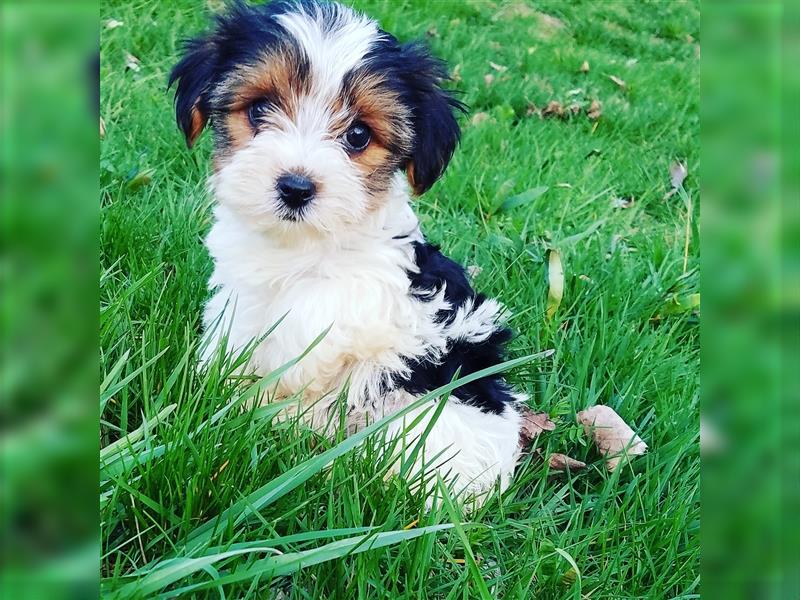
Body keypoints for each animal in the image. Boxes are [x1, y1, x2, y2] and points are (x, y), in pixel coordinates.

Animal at [170, 1, 532, 502]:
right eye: (259, 109)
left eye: (358, 135)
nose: (296, 187)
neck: (304, 245)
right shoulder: (241, 290)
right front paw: (216, 390)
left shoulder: (366, 303)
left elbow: (306, 336)